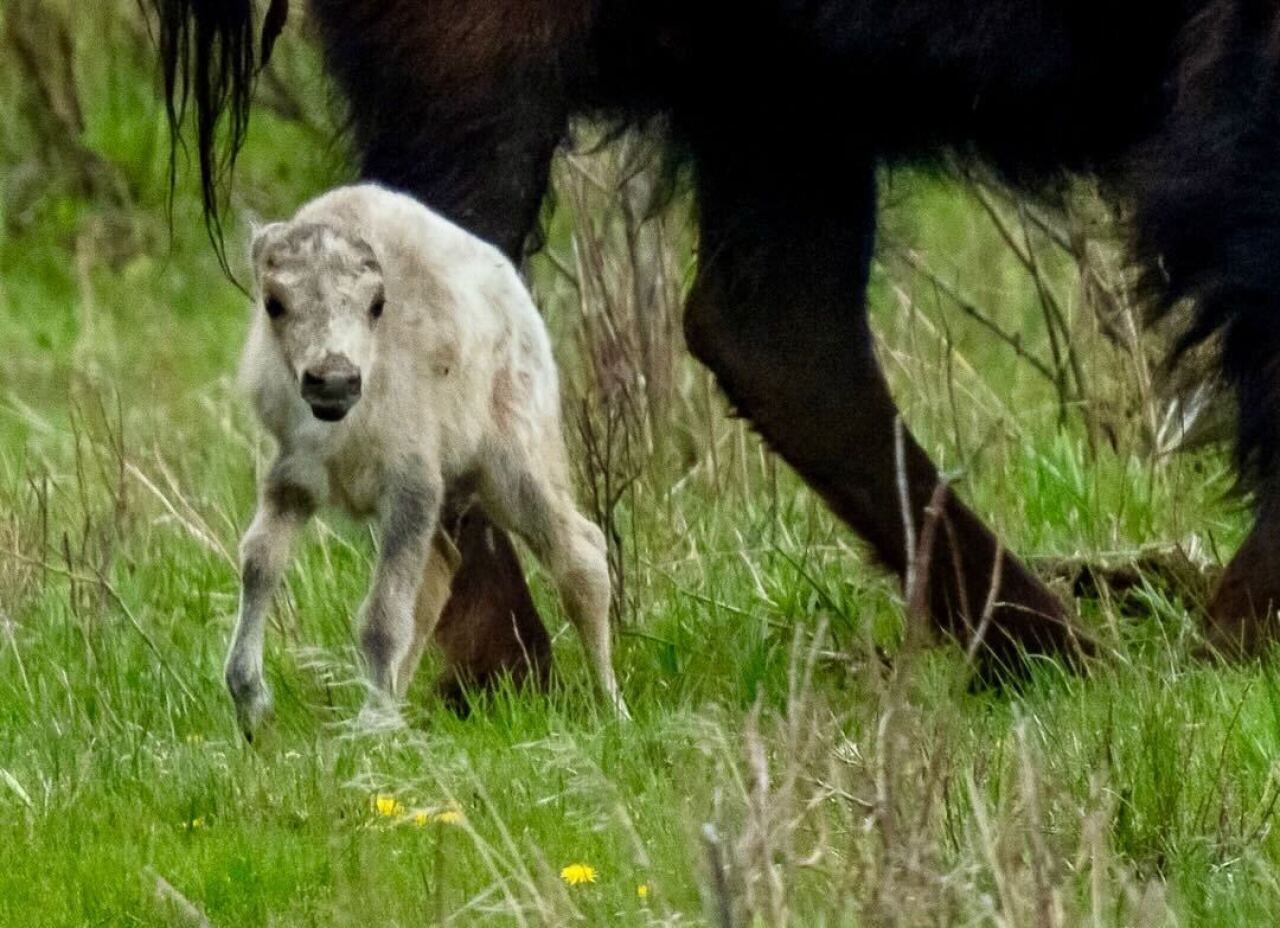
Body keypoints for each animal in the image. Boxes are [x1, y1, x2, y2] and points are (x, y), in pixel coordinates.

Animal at [154, 0, 1280, 670]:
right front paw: (1238, 636)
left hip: (780, 87)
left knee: (778, 329)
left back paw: (1051, 645)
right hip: (504, 64)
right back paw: (504, 667)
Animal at [230, 180, 629, 737]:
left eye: (376, 304)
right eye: (274, 303)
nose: (334, 381)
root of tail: (515, 296)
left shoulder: (411, 488)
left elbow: (381, 616)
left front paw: (372, 727)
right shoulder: (293, 480)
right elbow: (259, 563)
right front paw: (251, 705)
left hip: (513, 469)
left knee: (581, 555)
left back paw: (614, 710)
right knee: (441, 572)